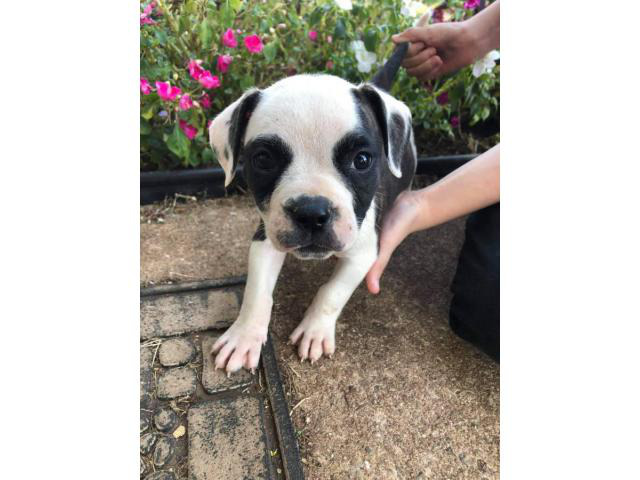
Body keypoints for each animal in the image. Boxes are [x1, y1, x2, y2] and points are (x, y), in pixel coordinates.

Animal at [209, 44, 416, 376]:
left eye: (361, 160)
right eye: (263, 160)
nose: (311, 212)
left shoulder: (363, 253)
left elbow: (332, 292)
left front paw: (315, 330)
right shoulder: (265, 238)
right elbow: (256, 292)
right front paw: (244, 337)